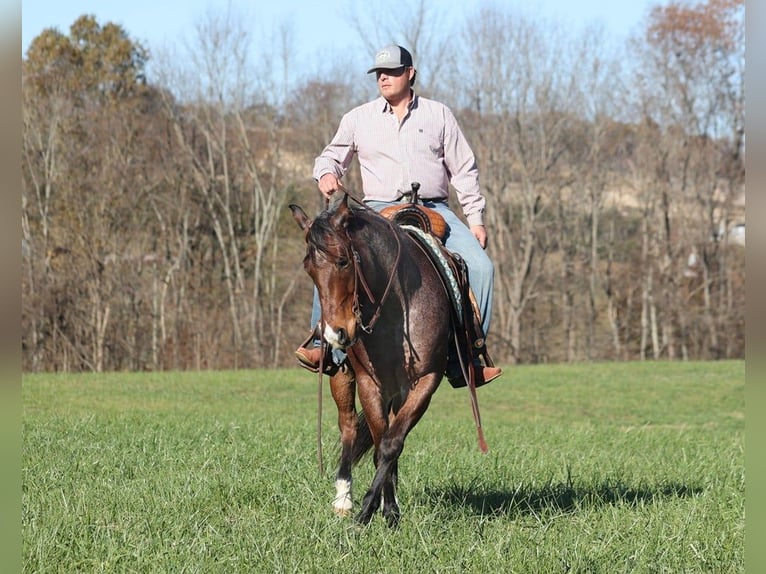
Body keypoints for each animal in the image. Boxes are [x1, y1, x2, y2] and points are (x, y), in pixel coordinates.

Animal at [291, 193, 478, 527]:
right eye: (309, 268)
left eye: (343, 261)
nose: (335, 333)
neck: (396, 308)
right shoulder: (369, 382)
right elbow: (380, 444)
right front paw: (372, 509)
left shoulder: (423, 382)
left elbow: (392, 443)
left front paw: (382, 510)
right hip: (344, 376)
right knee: (349, 427)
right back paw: (343, 499)